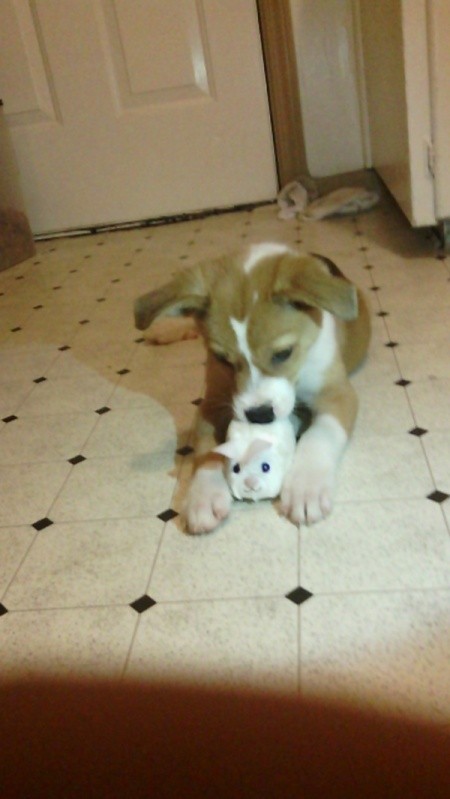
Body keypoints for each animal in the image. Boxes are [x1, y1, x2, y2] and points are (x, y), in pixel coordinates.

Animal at [134, 244, 372, 532]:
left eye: (283, 353)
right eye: (222, 359)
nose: (260, 416)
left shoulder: (336, 393)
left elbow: (320, 434)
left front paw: (306, 488)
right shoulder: (212, 402)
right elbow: (207, 449)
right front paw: (204, 496)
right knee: (191, 322)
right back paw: (164, 328)